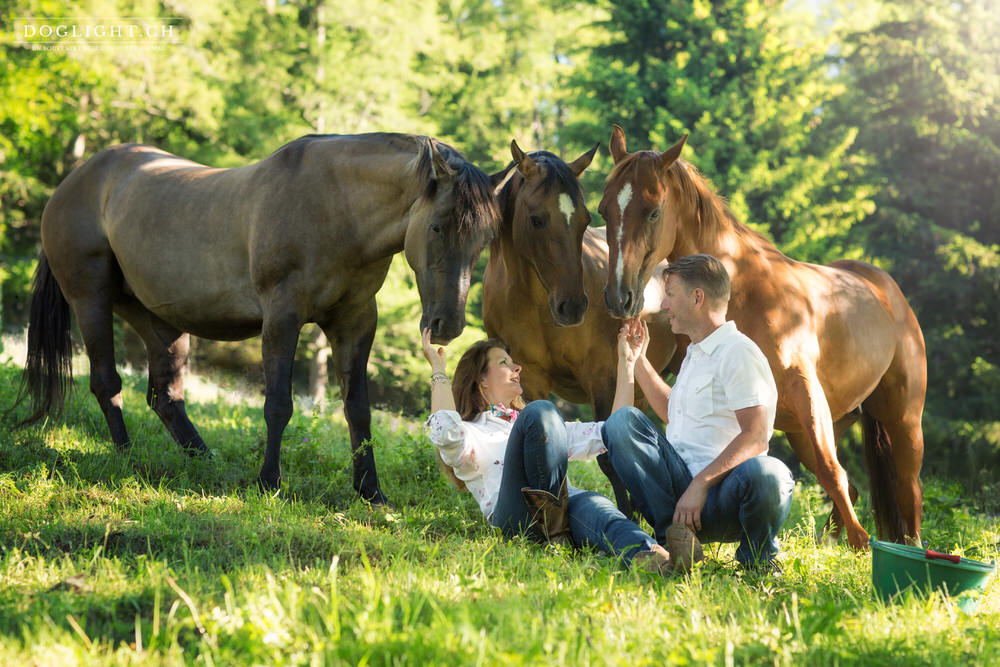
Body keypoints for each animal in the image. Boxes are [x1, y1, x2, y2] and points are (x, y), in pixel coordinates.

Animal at [13, 133, 498, 504]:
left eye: (484, 240)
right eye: (437, 226)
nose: (447, 325)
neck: (334, 207)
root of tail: (75, 180)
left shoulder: (355, 322)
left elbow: (358, 409)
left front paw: (370, 491)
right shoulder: (282, 317)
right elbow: (278, 404)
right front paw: (269, 483)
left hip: (159, 321)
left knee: (165, 397)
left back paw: (205, 461)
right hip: (90, 300)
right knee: (106, 382)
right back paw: (126, 455)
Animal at [482, 141, 676, 516]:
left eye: (585, 220)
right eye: (537, 219)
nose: (573, 306)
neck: (534, 303)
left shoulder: (601, 377)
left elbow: (610, 458)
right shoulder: (530, 380)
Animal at [596, 125, 924, 548]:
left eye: (652, 211)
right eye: (604, 210)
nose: (619, 297)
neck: (745, 293)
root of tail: (886, 290)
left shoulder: (804, 388)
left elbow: (831, 469)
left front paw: (863, 545)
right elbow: (834, 475)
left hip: (901, 421)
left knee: (906, 489)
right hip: (809, 427)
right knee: (850, 488)